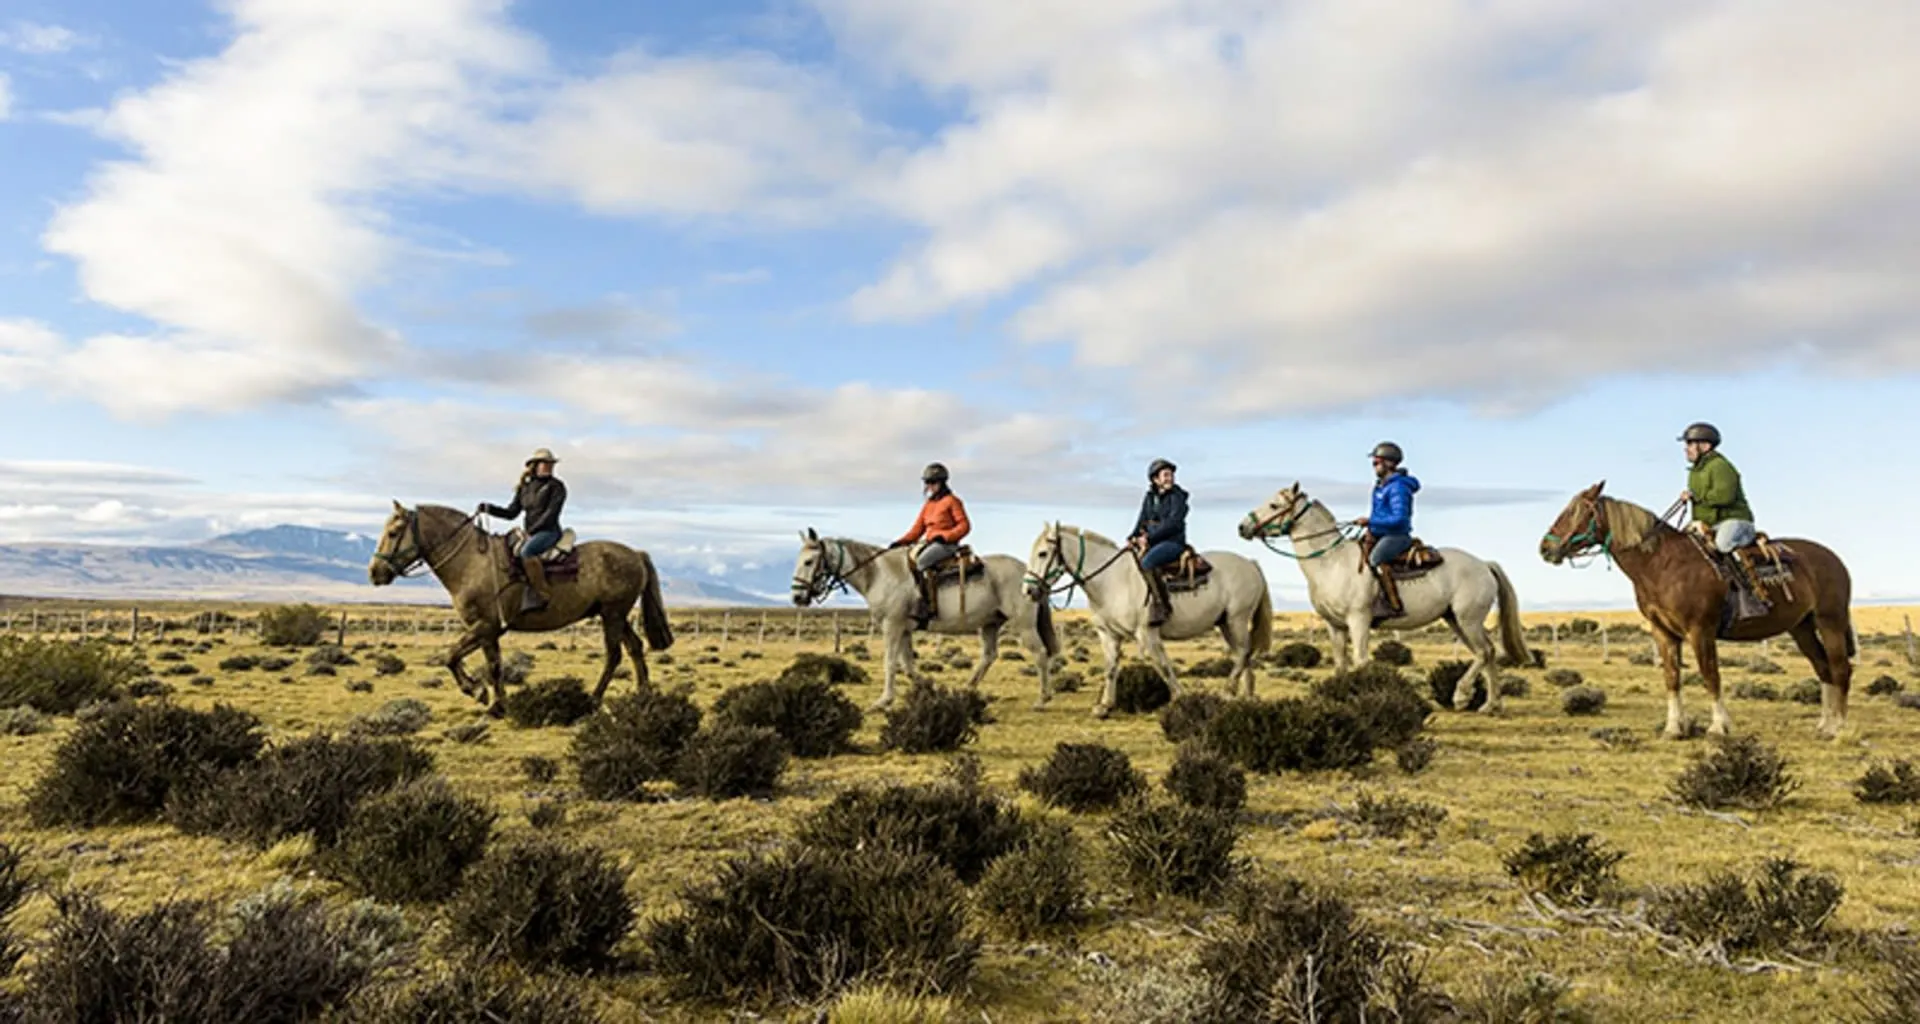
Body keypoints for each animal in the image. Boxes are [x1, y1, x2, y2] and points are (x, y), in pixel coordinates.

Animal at [367, 501, 674, 714]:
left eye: (394, 532)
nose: (374, 573)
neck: (471, 563)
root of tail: (636, 554)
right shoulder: (485, 631)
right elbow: (475, 662)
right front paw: (486, 696)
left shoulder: (486, 627)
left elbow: (463, 659)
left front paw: (486, 699)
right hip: (617, 616)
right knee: (635, 647)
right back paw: (643, 695)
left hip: (612, 615)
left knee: (614, 656)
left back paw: (594, 699)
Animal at [789, 529, 1060, 710]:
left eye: (809, 561)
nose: (797, 596)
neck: (880, 575)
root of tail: (1030, 574)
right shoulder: (905, 629)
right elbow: (908, 665)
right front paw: (928, 689)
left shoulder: (892, 626)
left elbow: (890, 663)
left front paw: (883, 701)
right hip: (989, 624)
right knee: (989, 656)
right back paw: (967, 688)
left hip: (1023, 625)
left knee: (1039, 654)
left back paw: (1043, 698)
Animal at [1022, 523, 1273, 716]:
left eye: (1043, 553)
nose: (1028, 591)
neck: (1111, 581)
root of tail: (1251, 564)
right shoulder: (1108, 635)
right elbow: (1110, 668)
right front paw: (1105, 706)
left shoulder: (1146, 632)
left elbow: (1163, 666)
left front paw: (1181, 699)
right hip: (1226, 624)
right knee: (1243, 655)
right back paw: (1246, 697)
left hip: (1237, 620)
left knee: (1243, 653)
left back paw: (1227, 691)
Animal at [1238, 482, 1528, 713]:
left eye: (1274, 504)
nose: (1243, 527)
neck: (1331, 563)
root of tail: (1484, 565)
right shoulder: (1335, 625)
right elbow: (1341, 665)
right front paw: (1337, 700)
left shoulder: (1359, 620)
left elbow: (1361, 661)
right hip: (1456, 620)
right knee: (1487, 653)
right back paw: (1491, 704)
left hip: (1468, 619)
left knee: (1484, 652)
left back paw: (1462, 696)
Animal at [1539, 481, 1856, 739]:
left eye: (1576, 512)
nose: (1545, 548)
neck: (1662, 564)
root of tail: (1835, 560)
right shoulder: (1663, 632)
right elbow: (1672, 678)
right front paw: (1673, 728)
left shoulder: (1699, 630)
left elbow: (1710, 675)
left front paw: (1719, 726)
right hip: (1801, 627)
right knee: (1823, 668)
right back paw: (1824, 725)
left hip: (1830, 621)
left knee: (1840, 668)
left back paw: (1838, 727)